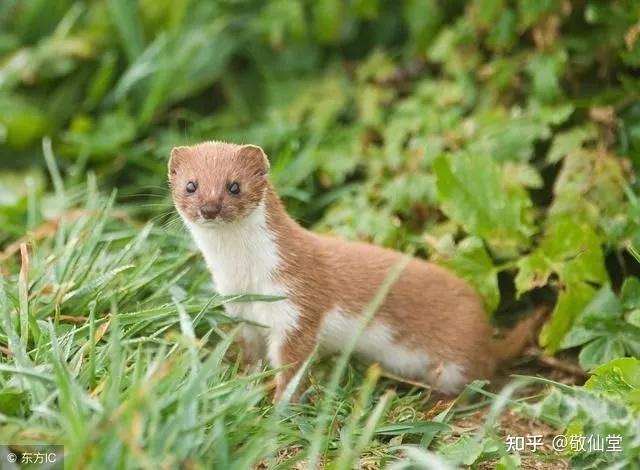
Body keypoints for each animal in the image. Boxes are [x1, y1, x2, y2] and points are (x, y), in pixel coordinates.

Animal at [168, 141, 544, 398]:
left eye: (234, 185)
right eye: (191, 185)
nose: (210, 208)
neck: (245, 274)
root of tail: (485, 334)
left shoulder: (297, 307)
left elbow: (292, 366)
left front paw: (278, 406)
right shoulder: (240, 311)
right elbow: (251, 355)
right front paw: (245, 383)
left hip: (455, 360)